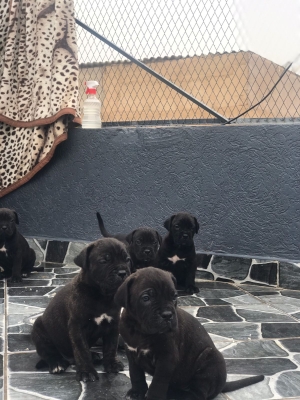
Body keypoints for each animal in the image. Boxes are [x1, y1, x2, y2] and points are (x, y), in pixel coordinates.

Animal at [31, 238, 131, 382]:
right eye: (104, 261)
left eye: (127, 259)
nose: (123, 272)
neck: (101, 295)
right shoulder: (77, 328)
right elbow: (81, 351)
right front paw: (86, 371)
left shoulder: (113, 324)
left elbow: (111, 346)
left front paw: (112, 364)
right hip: (39, 328)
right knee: (49, 352)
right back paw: (57, 363)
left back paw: (94, 355)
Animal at [114, 266, 262, 400]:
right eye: (146, 298)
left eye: (174, 296)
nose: (167, 315)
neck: (140, 330)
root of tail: (221, 385)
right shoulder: (131, 353)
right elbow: (136, 375)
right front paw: (137, 392)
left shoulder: (166, 358)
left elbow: (158, 383)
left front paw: (152, 397)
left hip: (209, 359)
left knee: (199, 393)